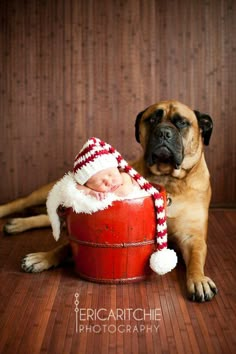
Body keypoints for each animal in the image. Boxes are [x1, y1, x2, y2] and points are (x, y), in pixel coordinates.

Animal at [0, 100, 218, 302]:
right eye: (152, 120)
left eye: (182, 122)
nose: (164, 133)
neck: (168, 179)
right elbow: (65, 246)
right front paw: (43, 257)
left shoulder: (193, 238)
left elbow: (196, 259)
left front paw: (199, 280)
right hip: (44, 191)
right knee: (25, 203)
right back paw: (11, 217)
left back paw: (17, 224)